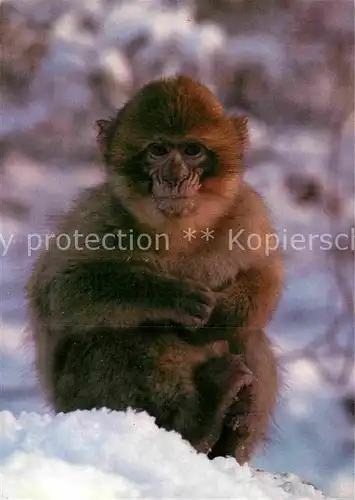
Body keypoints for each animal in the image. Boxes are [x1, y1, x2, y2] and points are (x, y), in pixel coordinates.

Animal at [25, 74, 284, 460]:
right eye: (158, 151)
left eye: (192, 150)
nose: (175, 175)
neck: (178, 235)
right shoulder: (97, 215)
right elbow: (58, 292)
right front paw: (171, 295)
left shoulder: (247, 211)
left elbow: (264, 275)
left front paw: (222, 313)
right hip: (78, 401)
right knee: (117, 336)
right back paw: (201, 418)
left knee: (249, 336)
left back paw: (232, 433)